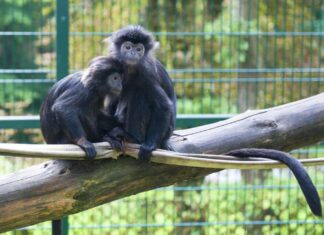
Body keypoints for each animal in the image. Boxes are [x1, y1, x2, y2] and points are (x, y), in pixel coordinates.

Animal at [105, 25, 177, 162]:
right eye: (128, 47)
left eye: (139, 49)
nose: (133, 53)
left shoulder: (147, 75)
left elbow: (164, 106)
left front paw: (149, 145)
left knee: (139, 94)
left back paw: (132, 138)